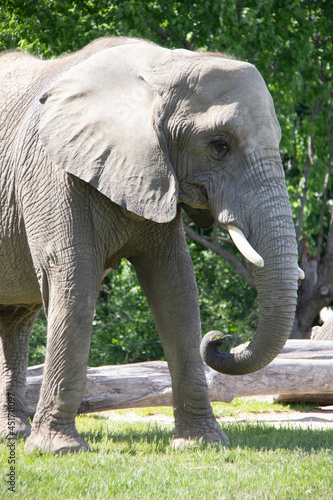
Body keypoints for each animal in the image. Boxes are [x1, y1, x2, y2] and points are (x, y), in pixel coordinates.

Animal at [0, 36, 300, 454]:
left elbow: (176, 287)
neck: (159, 65)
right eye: (219, 146)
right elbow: (74, 279)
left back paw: (13, 434)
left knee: (14, 319)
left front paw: (201, 443)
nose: (220, 339)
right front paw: (60, 450)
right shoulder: (52, 170)